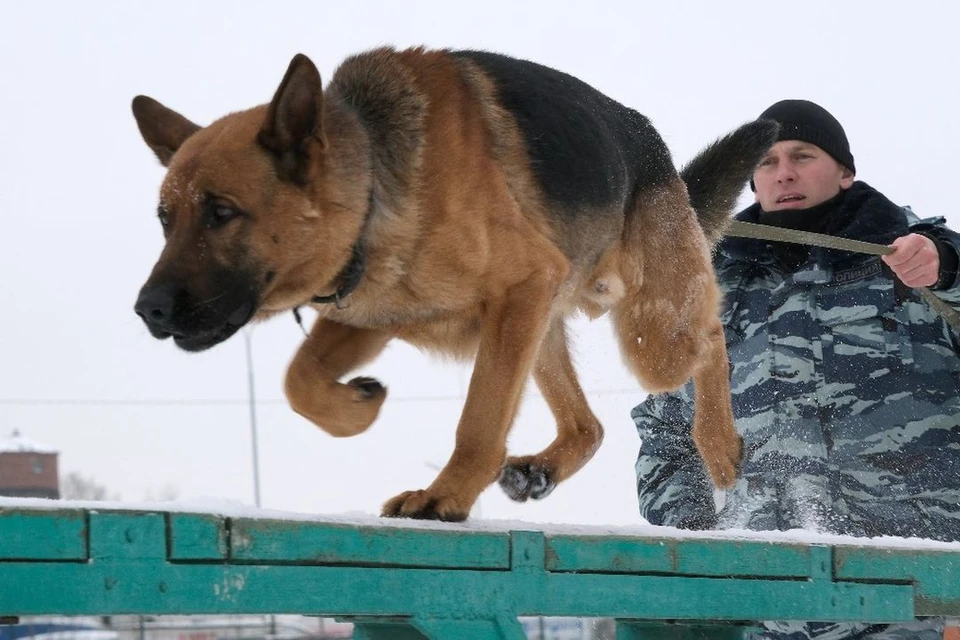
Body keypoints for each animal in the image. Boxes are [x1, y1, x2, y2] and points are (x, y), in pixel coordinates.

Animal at [135, 48, 776, 520]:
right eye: (165, 220)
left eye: (221, 213)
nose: (148, 311)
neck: (373, 183)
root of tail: (659, 156)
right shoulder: (370, 314)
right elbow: (299, 381)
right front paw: (357, 408)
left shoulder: (518, 287)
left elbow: (478, 419)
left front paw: (444, 496)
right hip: (539, 330)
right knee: (588, 425)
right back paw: (541, 468)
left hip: (644, 335)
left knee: (712, 338)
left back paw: (720, 444)